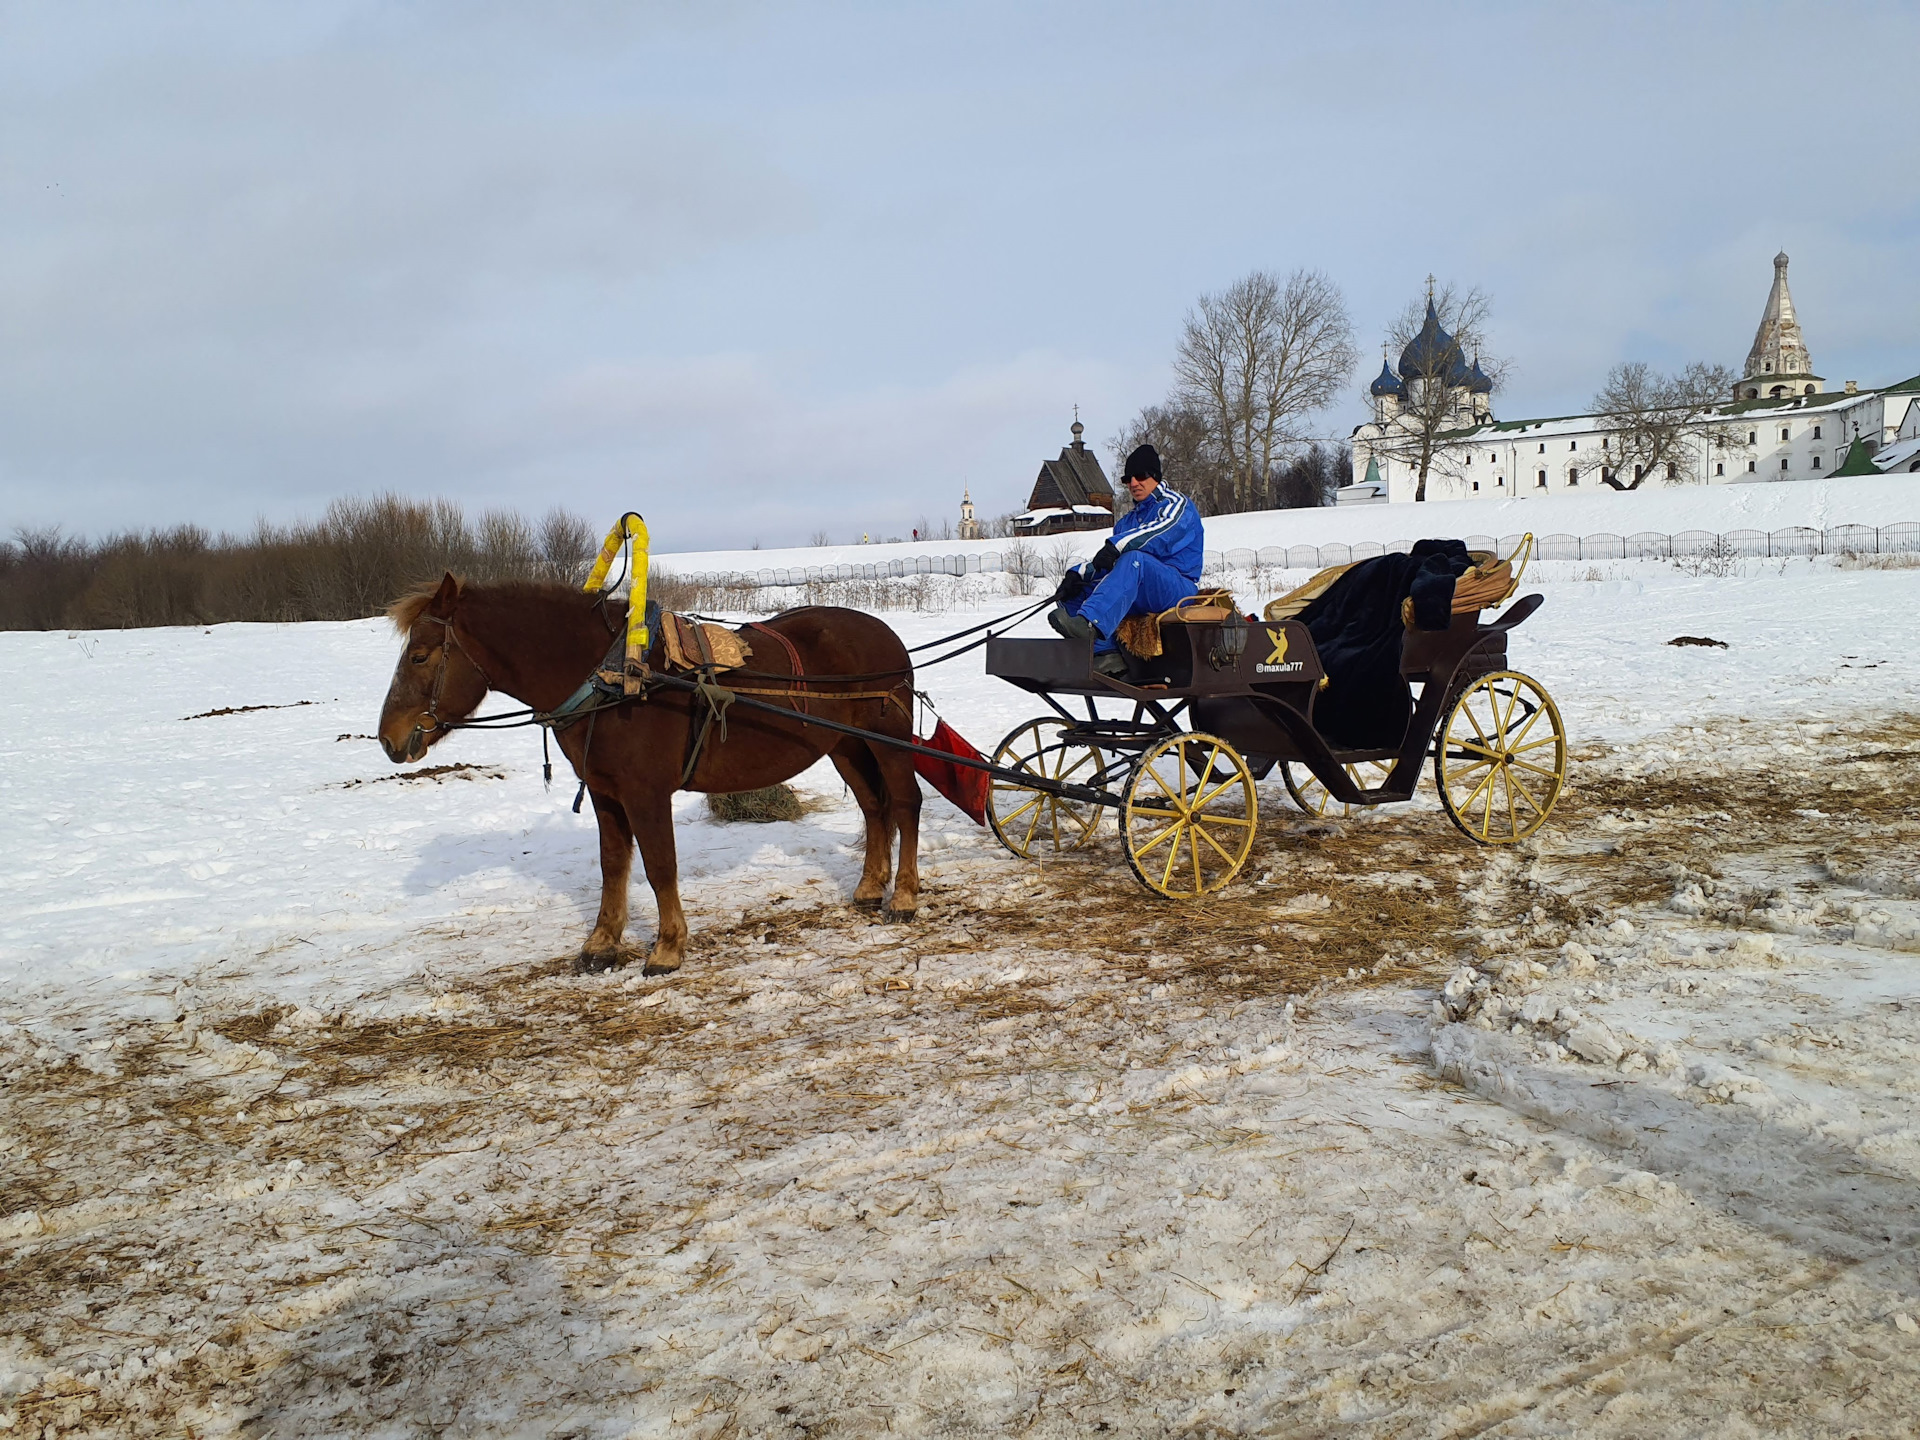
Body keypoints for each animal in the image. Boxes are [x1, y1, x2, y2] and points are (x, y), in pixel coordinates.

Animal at [376, 579, 921, 975]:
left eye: (420, 656)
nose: (388, 739)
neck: (615, 680)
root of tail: (887, 636)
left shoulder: (646, 794)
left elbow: (660, 867)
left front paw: (667, 947)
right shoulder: (605, 793)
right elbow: (613, 864)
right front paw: (601, 943)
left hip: (886, 740)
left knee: (905, 803)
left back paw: (905, 896)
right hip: (844, 745)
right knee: (874, 807)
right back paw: (870, 888)